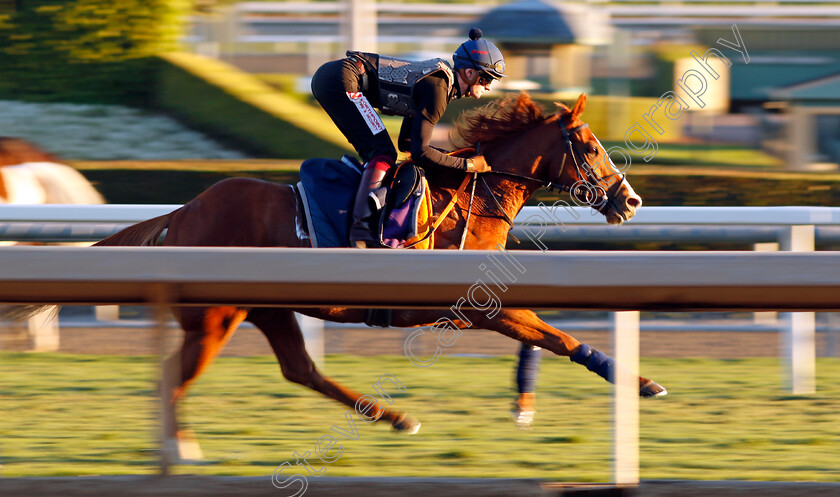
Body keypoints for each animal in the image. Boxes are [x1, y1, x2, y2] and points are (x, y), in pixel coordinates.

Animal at [4, 91, 664, 460]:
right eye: (589, 145)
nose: (630, 201)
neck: (471, 203)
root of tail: (184, 212)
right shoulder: (479, 306)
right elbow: (557, 336)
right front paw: (642, 383)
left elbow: (550, 336)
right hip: (217, 315)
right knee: (177, 377)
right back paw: (181, 448)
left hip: (263, 309)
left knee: (300, 370)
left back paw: (395, 417)